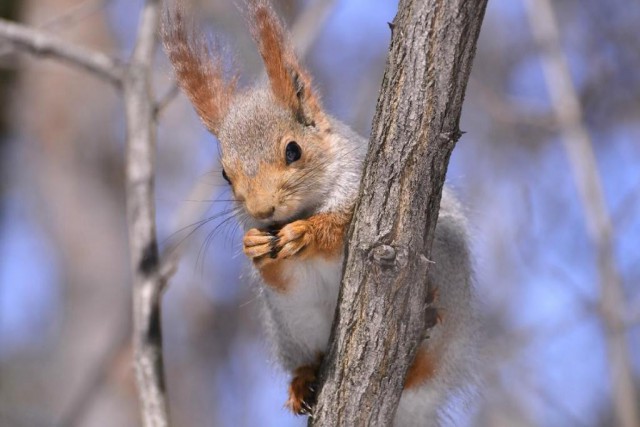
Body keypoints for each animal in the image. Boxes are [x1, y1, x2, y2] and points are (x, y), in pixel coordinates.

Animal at [162, 1, 478, 426]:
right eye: (226, 174)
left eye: (293, 150)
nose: (262, 210)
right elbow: (275, 271)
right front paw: (255, 245)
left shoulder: (363, 183)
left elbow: (345, 224)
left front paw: (307, 233)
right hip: (291, 327)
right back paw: (303, 382)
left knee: (426, 367)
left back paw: (426, 320)